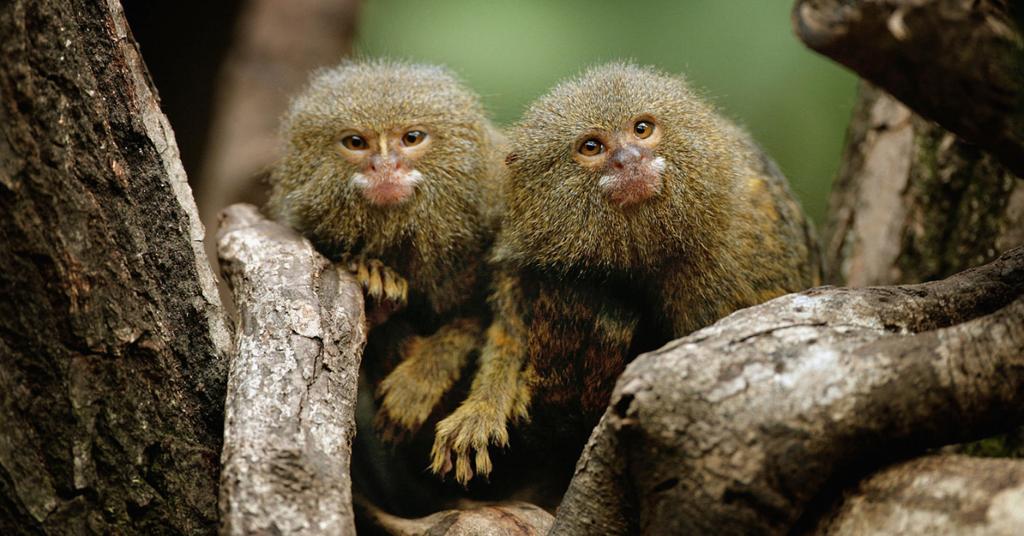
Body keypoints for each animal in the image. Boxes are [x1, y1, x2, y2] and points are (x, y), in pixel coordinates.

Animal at [266, 59, 505, 442]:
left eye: (412, 138)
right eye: (355, 142)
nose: (385, 166)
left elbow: (481, 324)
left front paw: (420, 380)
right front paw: (375, 277)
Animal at [430, 63, 822, 486]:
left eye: (642, 129)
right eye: (592, 147)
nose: (630, 158)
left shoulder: (736, 258)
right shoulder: (529, 245)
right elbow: (508, 333)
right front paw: (482, 408)